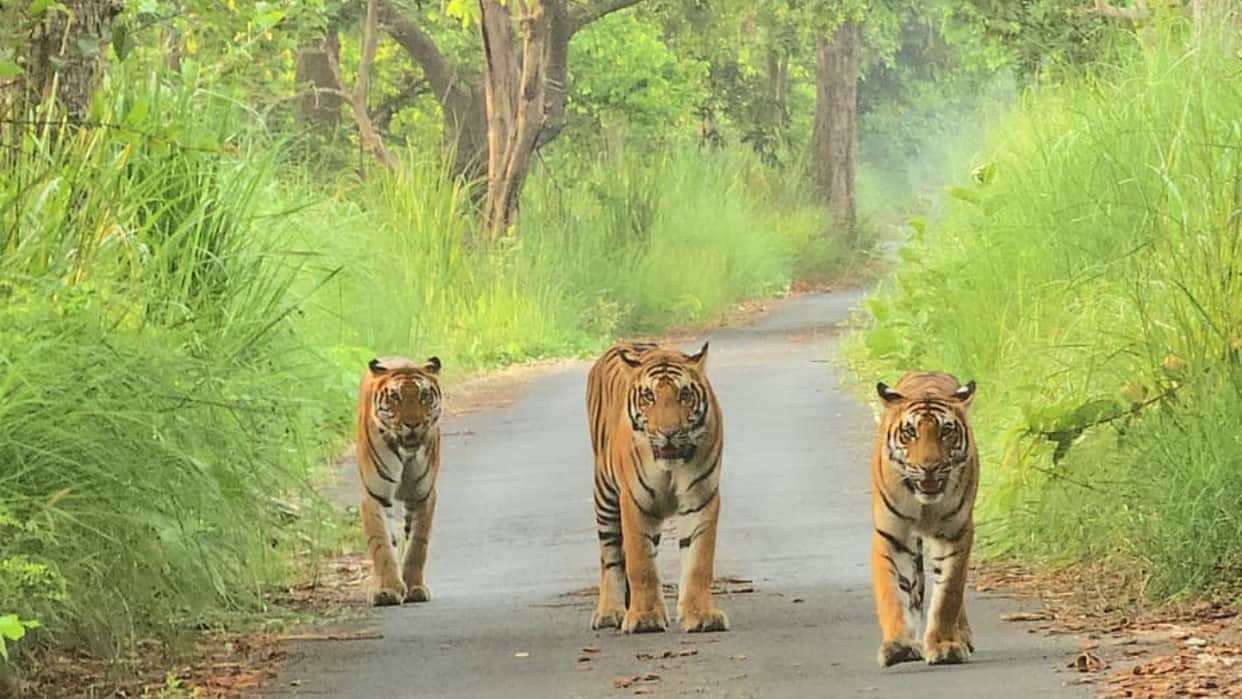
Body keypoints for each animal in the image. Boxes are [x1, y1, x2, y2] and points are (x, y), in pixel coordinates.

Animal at [356, 355, 443, 607]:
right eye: (395, 397)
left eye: (424, 396)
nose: (412, 424)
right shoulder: (375, 496)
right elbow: (382, 545)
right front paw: (387, 590)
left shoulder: (422, 495)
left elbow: (417, 545)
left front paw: (414, 587)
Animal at [586, 340, 729, 634]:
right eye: (649, 397)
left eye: (684, 395)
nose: (669, 432)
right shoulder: (634, 501)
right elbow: (641, 563)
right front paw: (644, 617)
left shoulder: (701, 498)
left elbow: (699, 561)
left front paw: (701, 615)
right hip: (605, 496)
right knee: (610, 557)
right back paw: (609, 612)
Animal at [870, 371, 978, 667]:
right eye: (910, 432)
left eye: (946, 431)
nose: (928, 467)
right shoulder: (891, 537)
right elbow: (892, 595)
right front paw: (898, 645)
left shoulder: (956, 535)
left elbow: (948, 597)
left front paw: (944, 646)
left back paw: (962, 636)